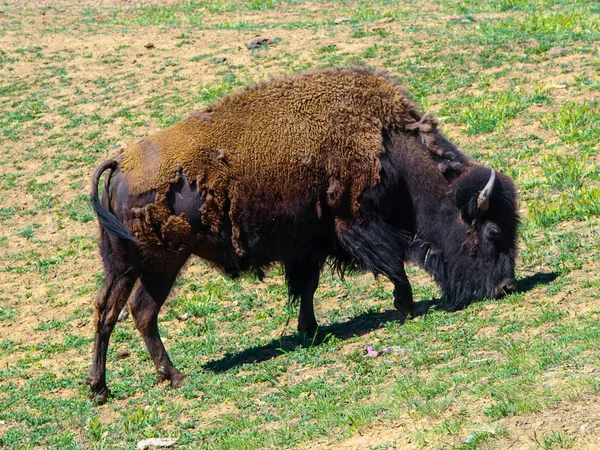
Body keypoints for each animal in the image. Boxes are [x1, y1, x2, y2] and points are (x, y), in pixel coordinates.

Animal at [85, 68, 520, 402]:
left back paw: (100, 389)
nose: (506, 286)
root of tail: (120, 163)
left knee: (108, 311)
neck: (387, 146)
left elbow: (307, 286)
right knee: (141, 311)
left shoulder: (310, 244)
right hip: (161, 264)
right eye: (493, 230)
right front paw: (406, 307)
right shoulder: (356, 224)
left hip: (123, 264)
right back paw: (174, 376)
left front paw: (309, 330)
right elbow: (393, 264)